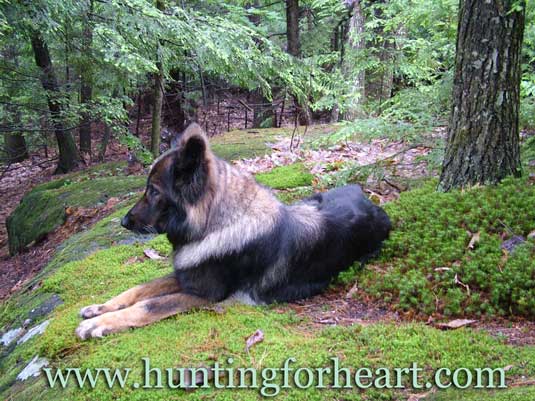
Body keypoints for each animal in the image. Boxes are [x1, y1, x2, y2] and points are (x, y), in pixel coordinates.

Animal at [75, 123, 392, 340]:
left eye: (153, 191)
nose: (123, 222)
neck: (214, 225)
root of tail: (369, 199)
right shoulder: (186, 275)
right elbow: (139, 289)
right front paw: (101, 308)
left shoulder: (205, 294)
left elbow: (149, 305)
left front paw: (98, 324)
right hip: (310, 200)